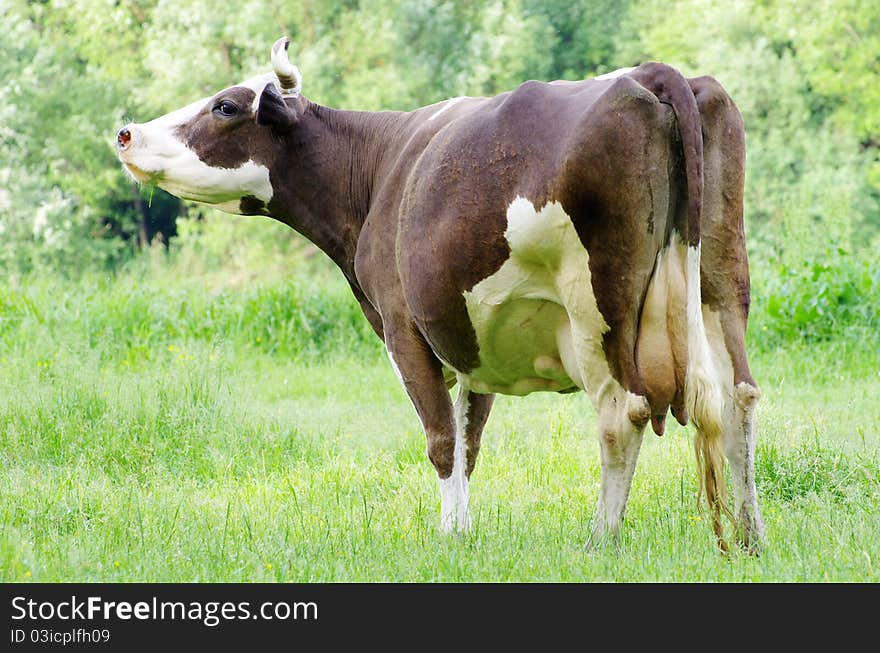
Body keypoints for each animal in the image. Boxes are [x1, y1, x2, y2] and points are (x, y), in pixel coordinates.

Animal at [115, 37, 764, 552]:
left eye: (225, 105)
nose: (125, 133)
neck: (375, 168)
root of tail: (652, 72)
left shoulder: (405, 328)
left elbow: (442, 440)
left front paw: (451, 534)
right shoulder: (473, 339)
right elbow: (469, 441)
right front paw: (464, 528)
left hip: (599, 305)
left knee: (621, 412)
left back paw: (600, 540)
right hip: (721, 279)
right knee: (738, 396)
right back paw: (749, 534)